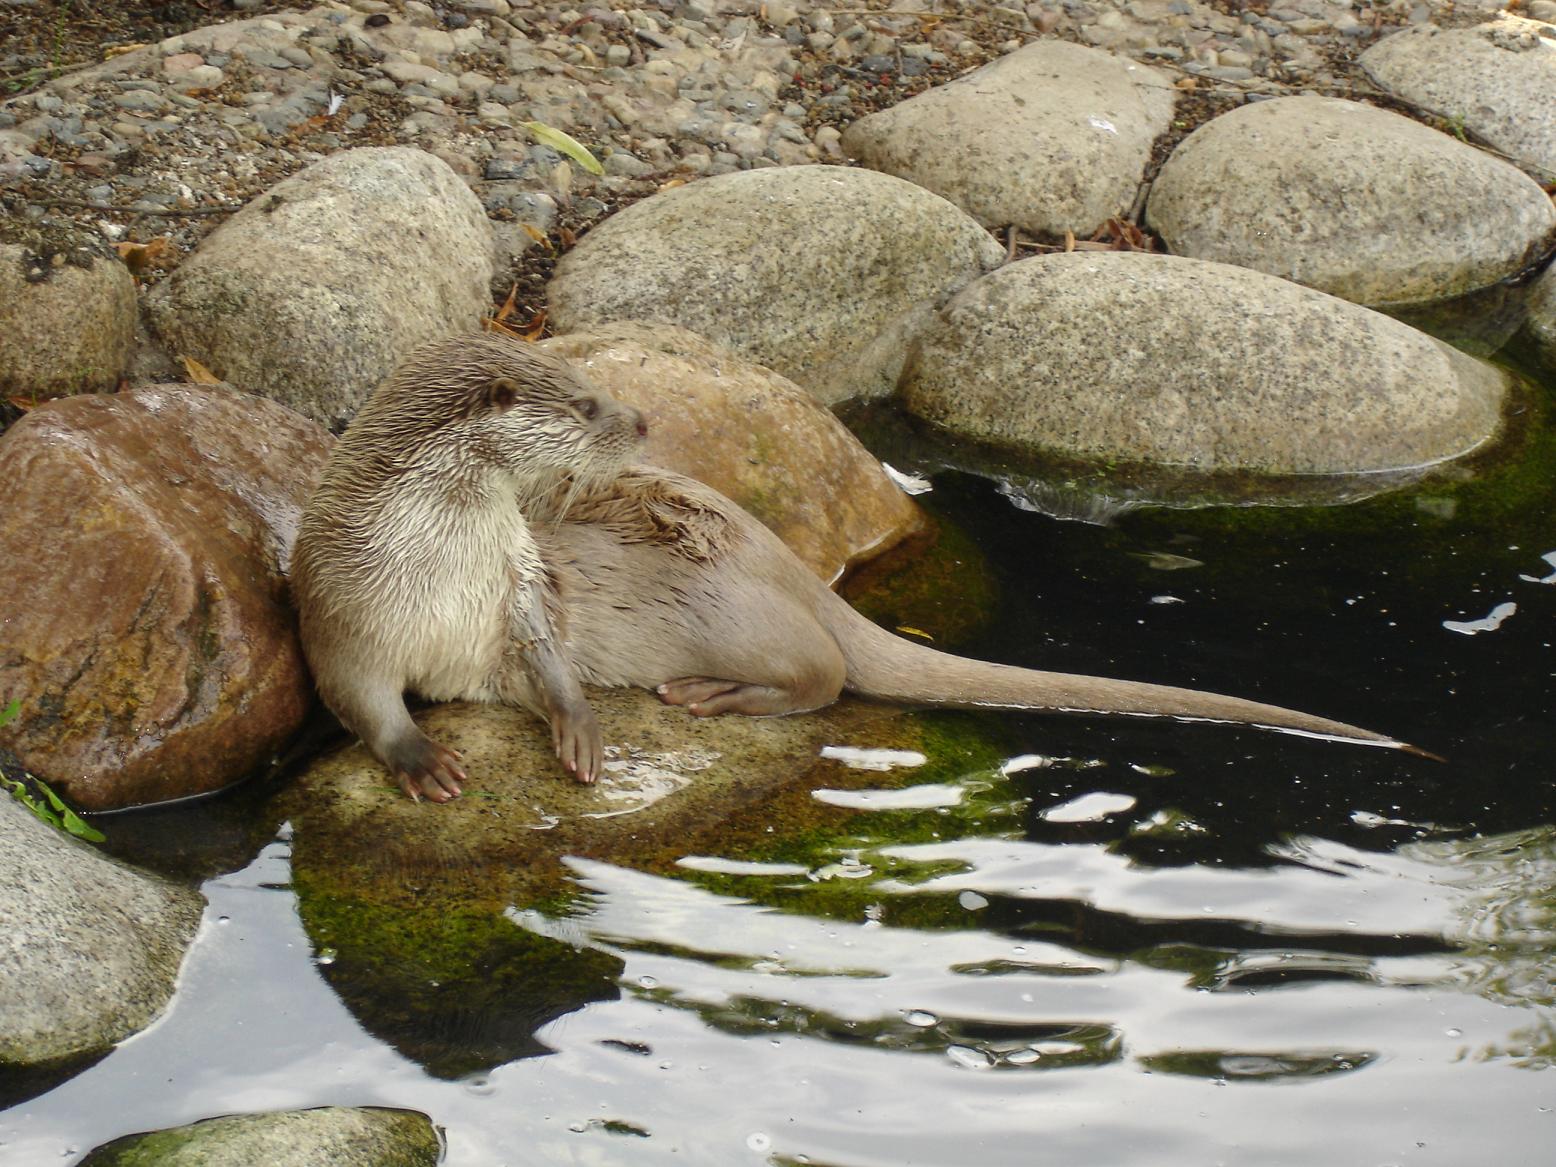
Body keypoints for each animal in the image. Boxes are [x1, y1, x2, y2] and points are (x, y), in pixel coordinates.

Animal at [292, 331, 1425, 802]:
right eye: (581, 403)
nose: (640, 418)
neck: (438, 569)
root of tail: (794, 568)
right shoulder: (339, 610)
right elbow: (362, 699)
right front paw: (420, 755)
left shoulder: (519, 591)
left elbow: (548, 664)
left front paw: (578, 729)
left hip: (731, 611)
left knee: (825, 676)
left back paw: (712, 696)